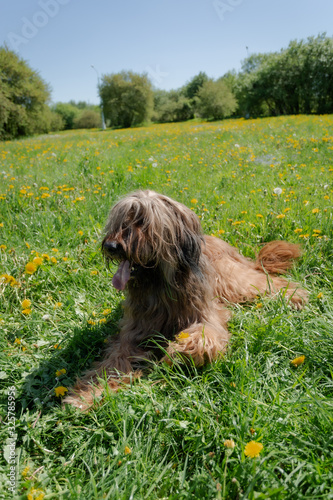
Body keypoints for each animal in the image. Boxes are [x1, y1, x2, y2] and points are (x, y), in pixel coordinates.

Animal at [63, 189, 308, 408]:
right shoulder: (133, 332)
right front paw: (87, 394)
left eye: (142, 221)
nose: (111, 246)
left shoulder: (206, 314)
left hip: (231, 279)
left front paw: (179, 351)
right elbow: (115, 361)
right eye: (120, 221)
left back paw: (294, 295)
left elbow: (204, 335)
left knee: (260, 281)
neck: (160, 287)